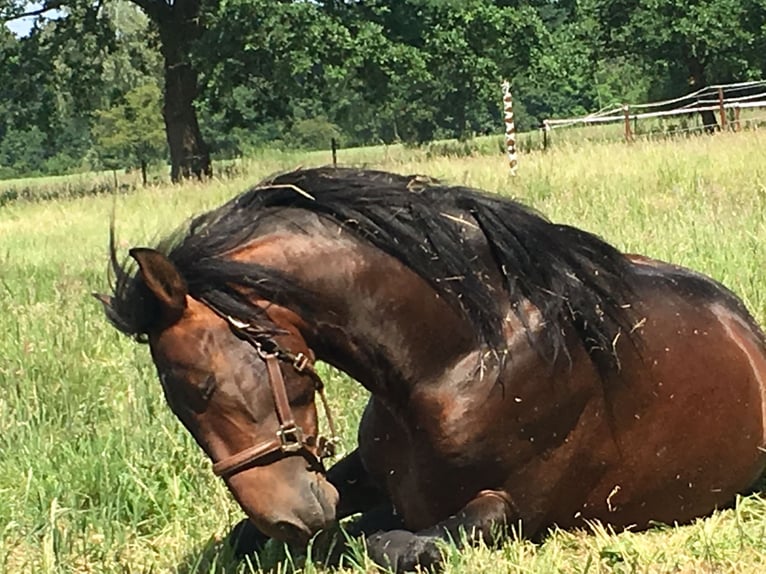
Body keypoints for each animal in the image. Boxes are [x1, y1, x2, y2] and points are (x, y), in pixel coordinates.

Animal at [95, 167, 766, 572]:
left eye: (203, 386)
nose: (289, 518)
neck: (459, 361)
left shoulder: (512, 510)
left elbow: (389, 544)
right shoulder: (362, 472)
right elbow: (246, 537)